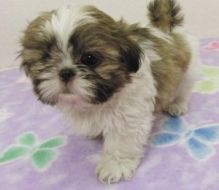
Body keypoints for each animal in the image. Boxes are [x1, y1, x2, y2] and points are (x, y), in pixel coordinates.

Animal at [20, 0, 198, 184]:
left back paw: (177, 105)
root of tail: (165, 27)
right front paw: (95, 133)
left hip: (188, 72)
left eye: (90, 58)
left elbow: (122, 142)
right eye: (45, 57)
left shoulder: (130, 116)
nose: (65, 72)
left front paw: (115, 165)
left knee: (184, 90)